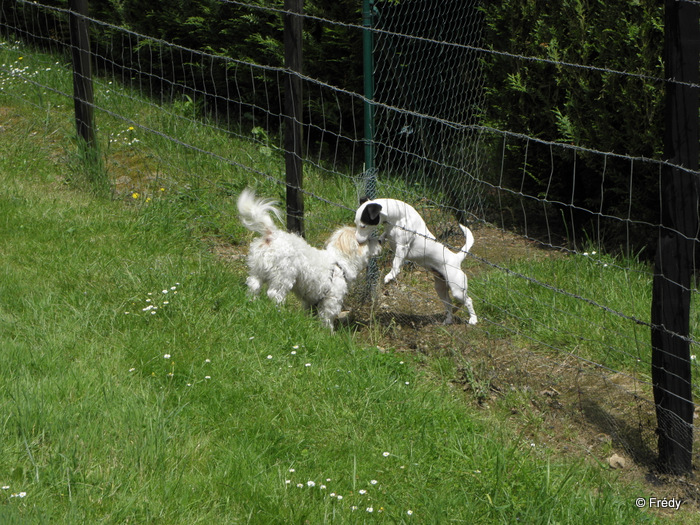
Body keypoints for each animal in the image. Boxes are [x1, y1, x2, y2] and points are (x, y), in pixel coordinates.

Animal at [238, 187, 380, 328]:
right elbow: (327, 317)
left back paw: (253, 303)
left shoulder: (310, 300)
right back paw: (279, 313)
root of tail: (272, 235)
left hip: (258, 270)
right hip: (283, 276)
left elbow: (309, 312)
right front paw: (328, 331)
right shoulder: (331, 299)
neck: (340, 263)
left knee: (253, 286)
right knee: (275, 294)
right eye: (369, 239)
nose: (380, 241)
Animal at [356, 196, 476, 324]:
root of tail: (457, 258)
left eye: (363, 226)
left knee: (468, 300)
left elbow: (395, 264)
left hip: (457, 290)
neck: (398, 216)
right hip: (440, 288)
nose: (357, 241)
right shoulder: (388, 236)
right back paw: (448, 320)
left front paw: (390, 276)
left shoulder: (402, 247)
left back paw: (473, 319)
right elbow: (382, 237)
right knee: (449, 303)